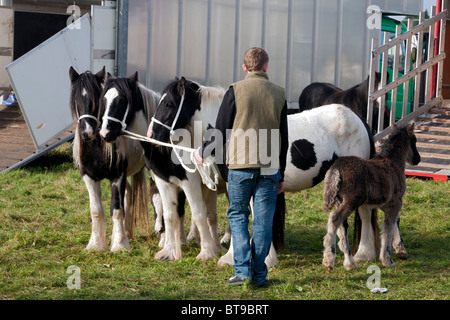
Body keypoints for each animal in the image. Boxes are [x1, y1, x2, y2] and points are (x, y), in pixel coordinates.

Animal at [69, 68, 149, 252]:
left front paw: (119, 245)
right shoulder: (89, 177)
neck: (97, 148)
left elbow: (116, 209)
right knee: (128, 194)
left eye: (96, 100)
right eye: (76, 99)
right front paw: (96, 244)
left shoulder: (117, 176)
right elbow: (96, 210)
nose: (87, 132)